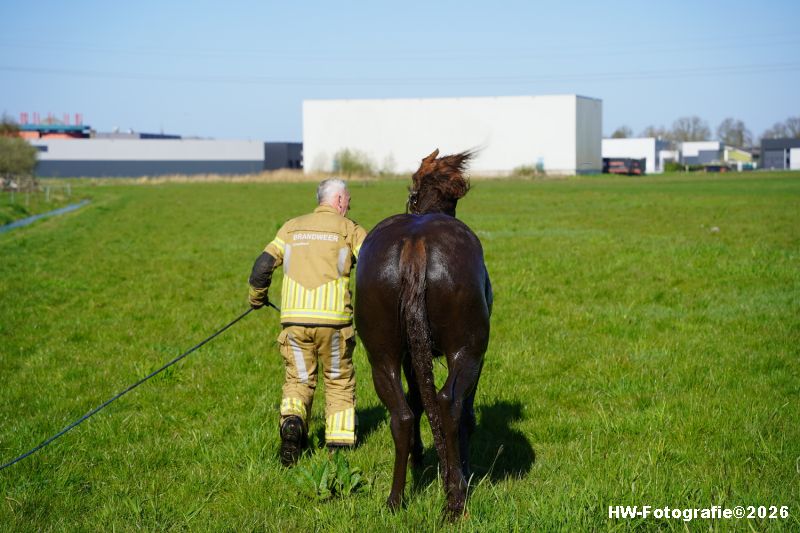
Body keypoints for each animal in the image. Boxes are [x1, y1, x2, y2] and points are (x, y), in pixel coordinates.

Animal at [354, 149, 492, 518]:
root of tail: (415, 244)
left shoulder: (409, 356)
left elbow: (417, 399)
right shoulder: (478, 357)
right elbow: (463, 410)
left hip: (381, 354)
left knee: (402, 414)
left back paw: (395, 498)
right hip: (468, 350)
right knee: (449, 402)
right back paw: (455, 497)